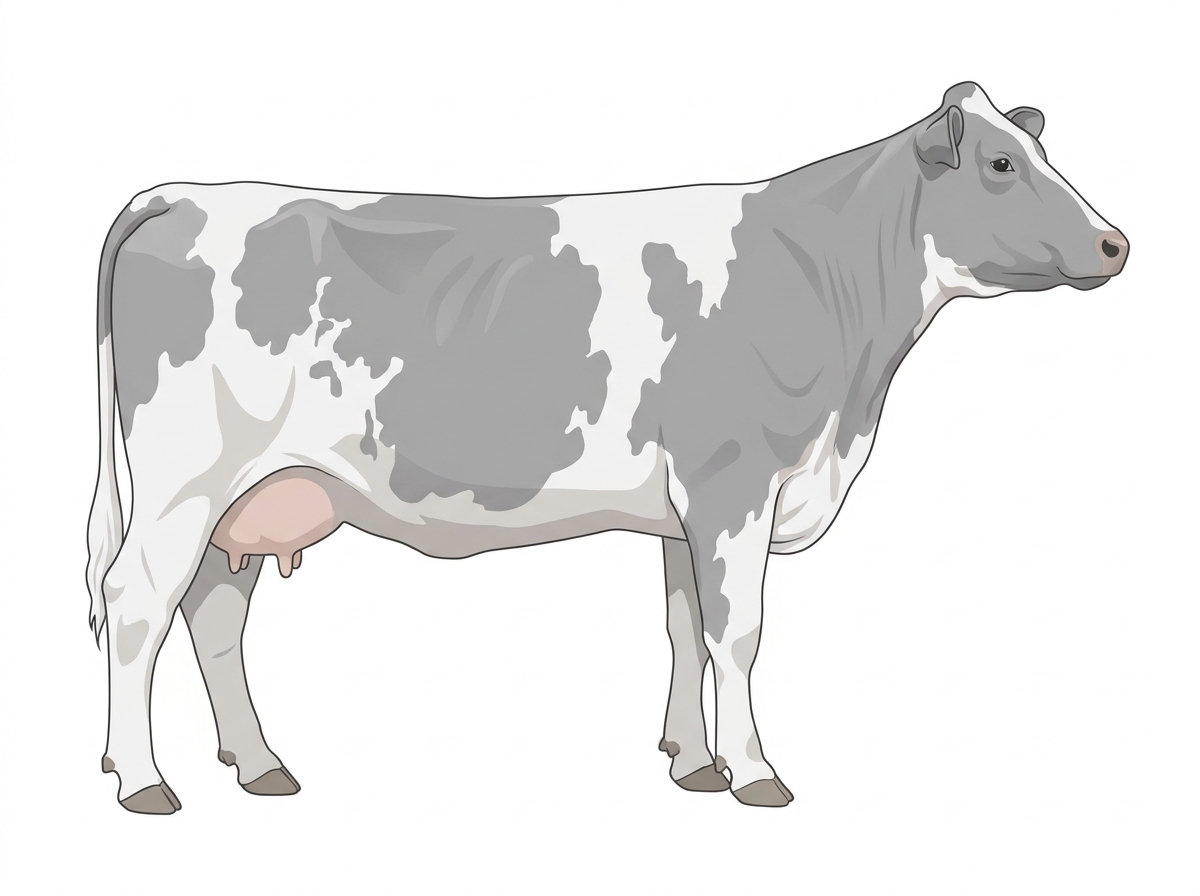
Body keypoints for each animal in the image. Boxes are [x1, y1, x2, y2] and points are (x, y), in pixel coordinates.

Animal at [86, 82, 1127, 813]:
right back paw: (143, 781)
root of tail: (181, 194)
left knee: (213, 616)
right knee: (136, 603)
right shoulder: (734, 483)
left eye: (1037, 149)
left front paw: (694, 763)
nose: (1117, 243)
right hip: (186, 477)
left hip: (247, 497)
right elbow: (739, 632)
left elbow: (683, 627)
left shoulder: (686, 510)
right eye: (1000, 164)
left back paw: (259, 765)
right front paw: (755, 772)